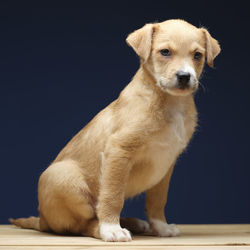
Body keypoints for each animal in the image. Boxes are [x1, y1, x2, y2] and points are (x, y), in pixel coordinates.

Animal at [9, 19, 221, 242]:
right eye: (165, 52)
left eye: (197, 55)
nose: (184, 76)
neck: (169, 102)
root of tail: (42, 219)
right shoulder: (119, 151)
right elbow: (112, 196)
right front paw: (111, 228)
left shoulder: (166, 163)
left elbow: (157, 200)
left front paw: (161, 227)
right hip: (62, 176)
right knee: (82, 224)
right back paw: (107, 228)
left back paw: (134, 223)